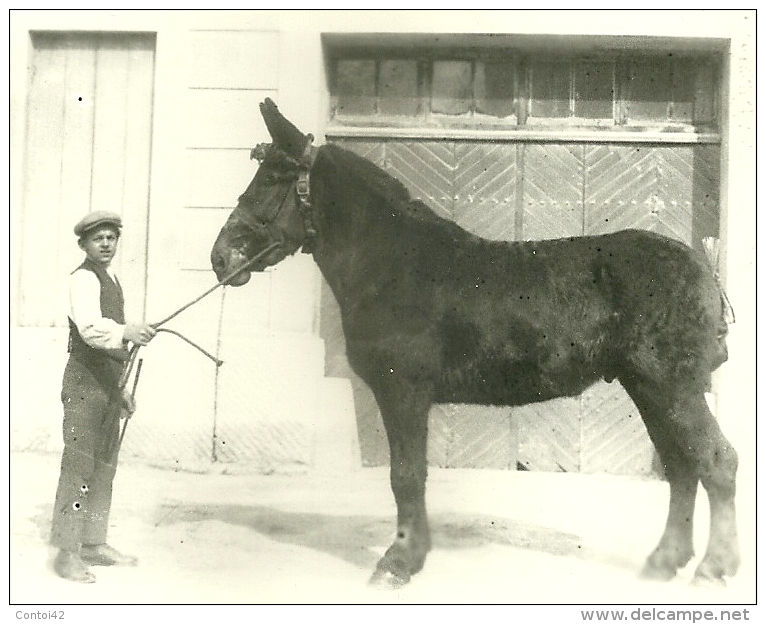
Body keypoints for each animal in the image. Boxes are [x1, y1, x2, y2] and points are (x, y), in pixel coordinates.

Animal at [210, 97, 736, 588]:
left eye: (274, 177)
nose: (220, 257)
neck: (394, 263)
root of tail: (701, 268)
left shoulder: (403, 391)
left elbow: (405, 474)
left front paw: (398, 562)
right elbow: (411, 475)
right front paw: (412, 555)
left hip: (671, 387)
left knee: (715, 461)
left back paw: (714, 567)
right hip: (649, 388)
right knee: (682, 467)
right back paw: (664, 562)